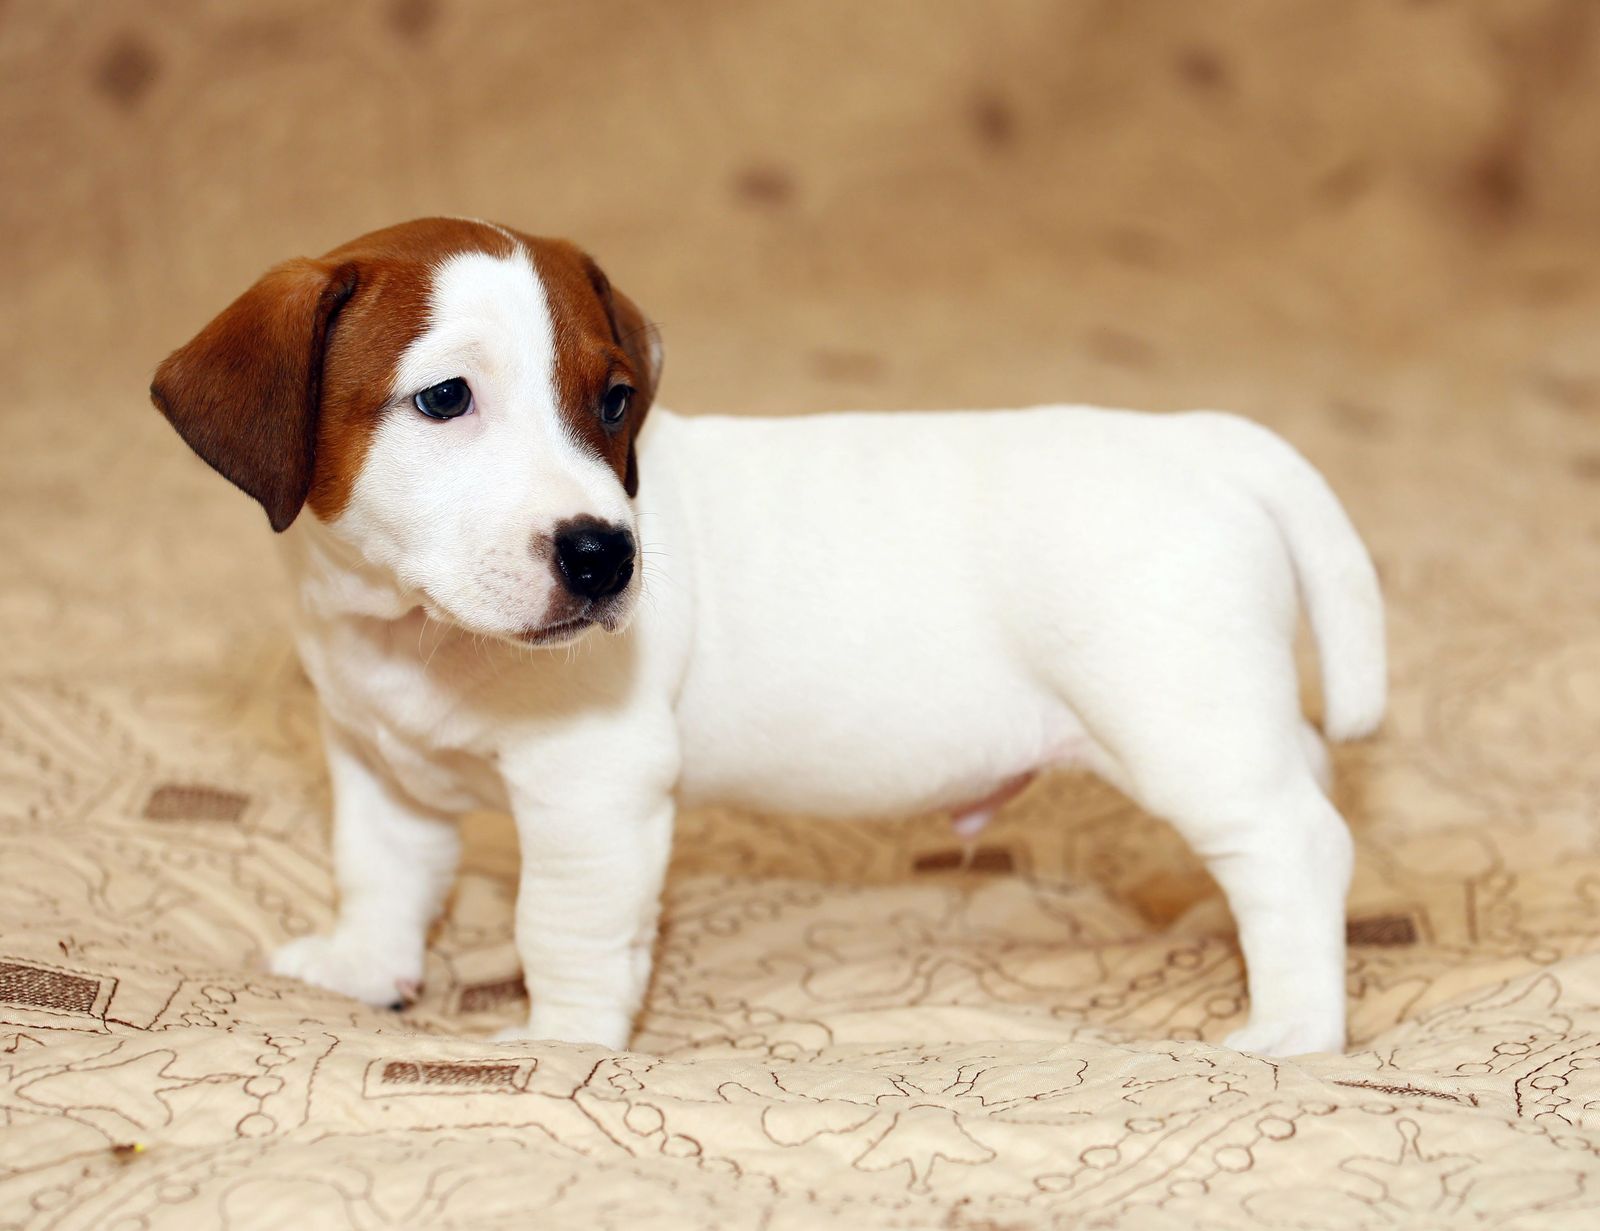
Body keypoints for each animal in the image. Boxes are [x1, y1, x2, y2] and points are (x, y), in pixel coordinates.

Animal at [156, 216, 1395, 1050]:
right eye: (445, 398)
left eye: (613, 401)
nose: (607, 556)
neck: (416, 630)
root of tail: (1203, 441)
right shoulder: (377, 767)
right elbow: (381, 876)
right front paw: (363, 968)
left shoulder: (591, 792)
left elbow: (566, 929)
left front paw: (558, 1045)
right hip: (1237, 714)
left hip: (1183, 726)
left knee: (1296, 847)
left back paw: (1291, 1030)